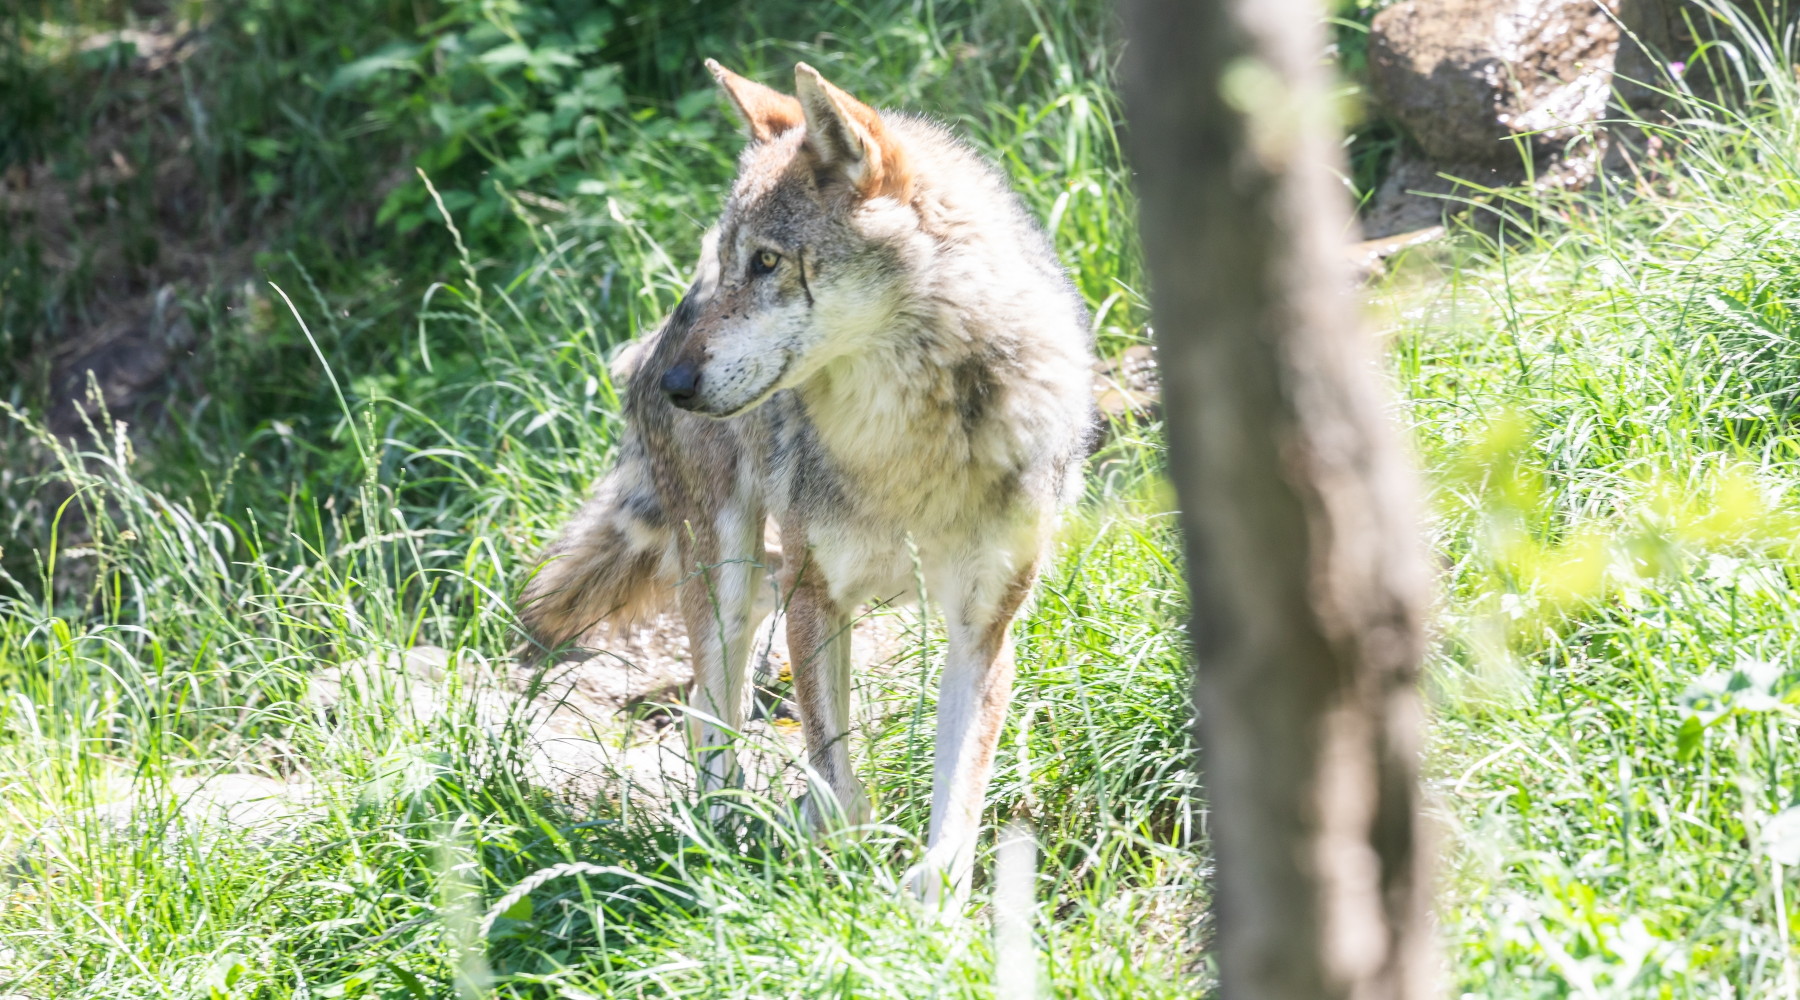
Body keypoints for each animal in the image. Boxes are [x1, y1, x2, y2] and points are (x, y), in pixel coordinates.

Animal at [518, 60, 1095, 901]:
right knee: (709, 708)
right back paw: (719, 832)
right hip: (722, 568)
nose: (674, 384)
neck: (905, 447)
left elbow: (960, 793)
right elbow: (836, 776)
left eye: (767, 262)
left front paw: (934, 904)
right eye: (730, 261)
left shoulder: (983, 626)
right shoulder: (816, 595)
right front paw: (844, 877)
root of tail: (656, 332)